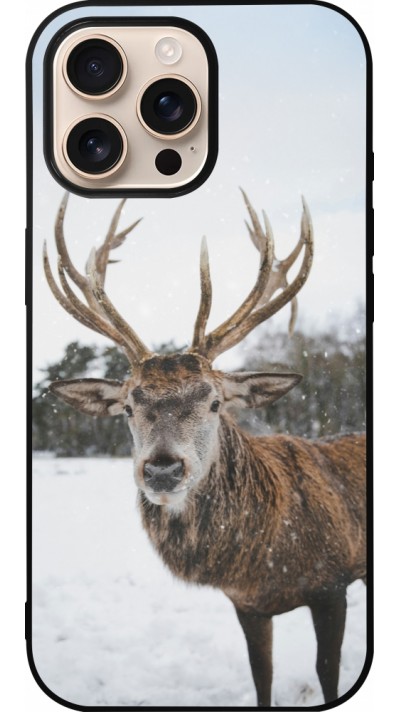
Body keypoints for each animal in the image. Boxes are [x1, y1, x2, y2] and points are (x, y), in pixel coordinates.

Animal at [43, 191, 366, 707]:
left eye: (214, 402)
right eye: (129, 406)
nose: (162, 470)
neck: (265, 558)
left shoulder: (333, 582)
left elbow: (328, 672)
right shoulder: (247, 604)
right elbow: (262, 675)